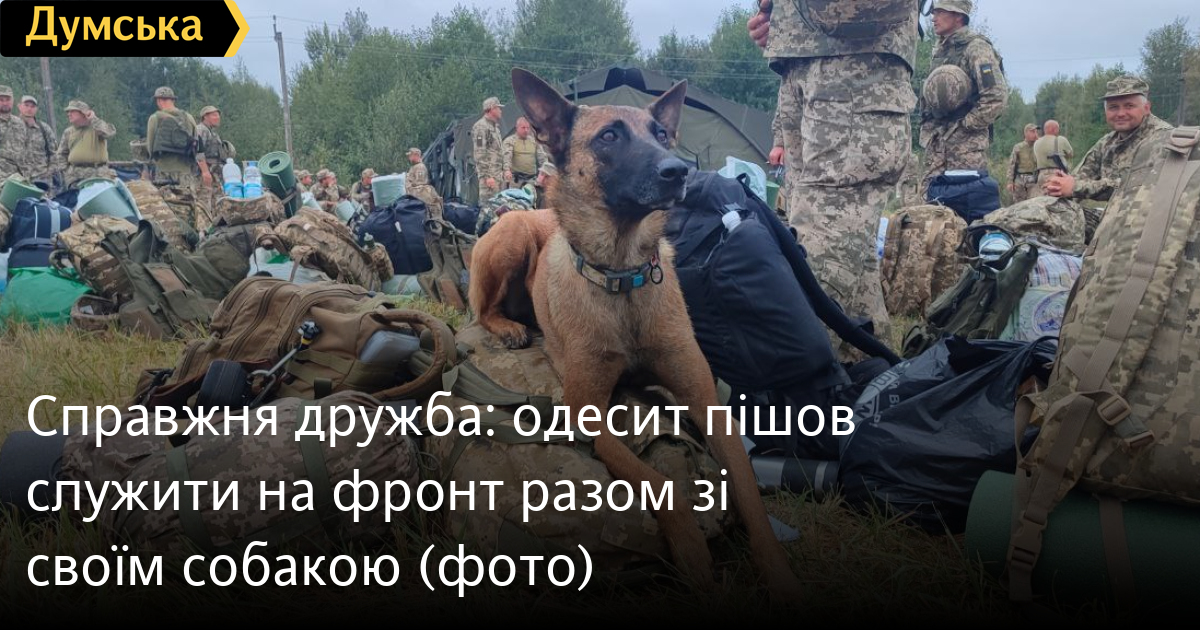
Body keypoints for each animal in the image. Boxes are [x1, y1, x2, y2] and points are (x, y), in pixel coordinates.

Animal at [468, 68, 803, 602]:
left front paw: (779, 573)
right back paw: (511, 327)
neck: (623, 275)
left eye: (662, 134)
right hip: (513, 235)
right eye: (609, 137)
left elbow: (750, 494)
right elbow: (657, 482)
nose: (678, 171)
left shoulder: (704, 400)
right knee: (482, 310)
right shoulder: (587, 413)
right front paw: (692, 550)